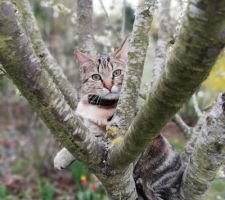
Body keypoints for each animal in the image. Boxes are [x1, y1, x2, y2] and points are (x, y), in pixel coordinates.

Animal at [53, 38, 184, 199]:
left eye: (117, 72)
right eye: (96, 77)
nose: (109, 86)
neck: (97, 105)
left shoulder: (111, 135)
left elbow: (92, 138)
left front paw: (61, 157)